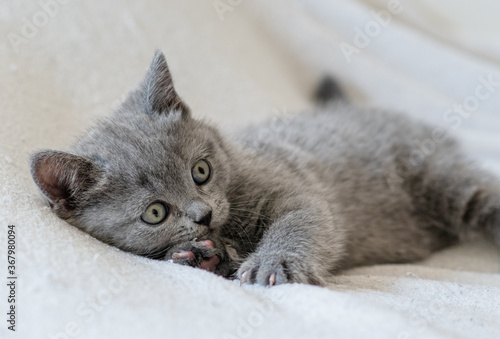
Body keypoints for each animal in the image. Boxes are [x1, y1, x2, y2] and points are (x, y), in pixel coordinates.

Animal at [30, 49, 500, 284]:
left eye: (201, 171)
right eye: (156, 212)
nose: (203, 214)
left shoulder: (298, 190)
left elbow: (300, 222)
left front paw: (272, 265)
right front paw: (199, 257)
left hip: (440, 177)